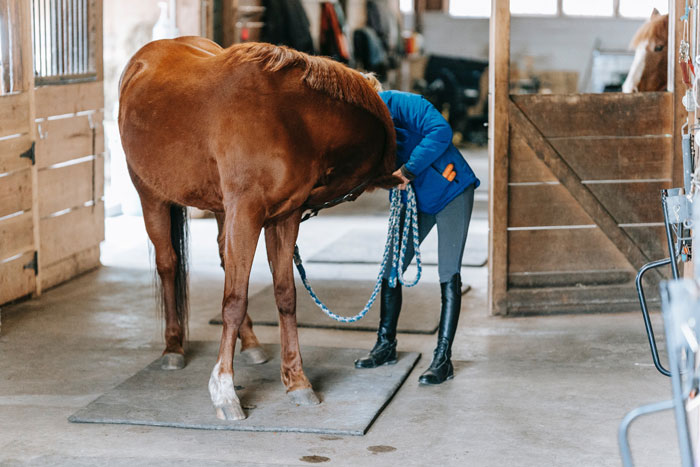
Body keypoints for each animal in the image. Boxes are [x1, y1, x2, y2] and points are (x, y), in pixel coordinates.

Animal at [118, 36, 398, 420]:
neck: (291, 118)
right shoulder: (247, 213)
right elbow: (234, 300)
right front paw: (224, 392)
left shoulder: (283, 218)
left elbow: (285, 295)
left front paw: (297, 381)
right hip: (152, 197)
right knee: (168, 264)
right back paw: (173, 348)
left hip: (222, 210)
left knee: (225, 263)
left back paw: (249, 343)